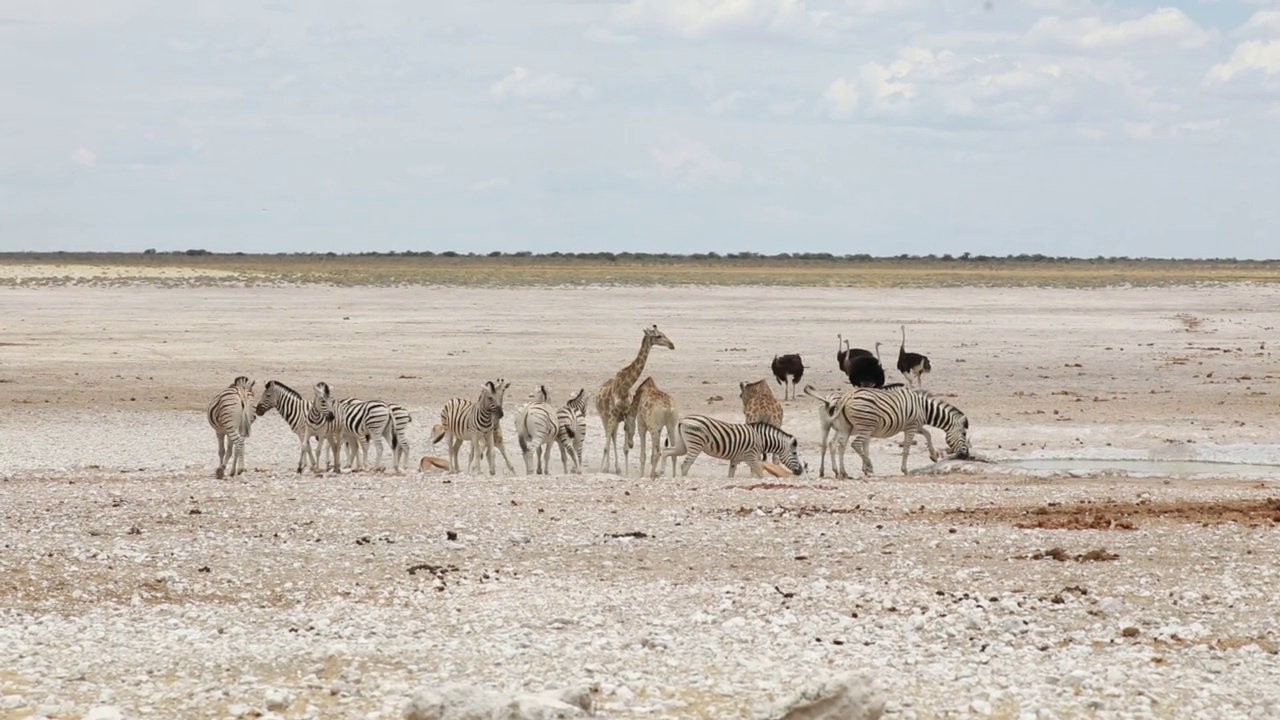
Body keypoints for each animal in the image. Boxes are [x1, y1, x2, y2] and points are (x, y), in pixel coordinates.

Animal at [593, 324, 675, 471]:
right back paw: (606, 467)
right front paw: (602, 469)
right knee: (609, 438)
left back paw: (616, 468)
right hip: (604, 417)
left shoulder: (626, 415)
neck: (624, 387)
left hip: (615, 419)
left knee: (613, 437)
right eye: (658, 336)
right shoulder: (613, 415)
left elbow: (625, 449)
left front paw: (624, 471)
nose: (672, 345)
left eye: (663, 333)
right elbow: (606, 447)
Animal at [660, 415, 798, 476]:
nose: (800, 471)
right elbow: (760, 474)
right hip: (695, 444)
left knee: (666, 451)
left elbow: (731, 475)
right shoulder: (751, 457)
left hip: (682, 446)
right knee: (685, 465)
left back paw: (660, 473)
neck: (761, 439)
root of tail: (683, 419)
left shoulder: (735, 459)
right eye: (794, 453)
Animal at [829, 381, 967, 476]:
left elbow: (928, 434)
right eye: (964, 434)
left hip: (846, 427)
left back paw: (843, 472)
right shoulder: (912, 427)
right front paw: (905, 470)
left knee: (840, 445)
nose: (966, 455)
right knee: (855, 444)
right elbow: (906, 448)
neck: (924, 409)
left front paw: (933, 455)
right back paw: (869, 465)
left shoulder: (914, 426)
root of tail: (849, 395)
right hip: (866, 425)